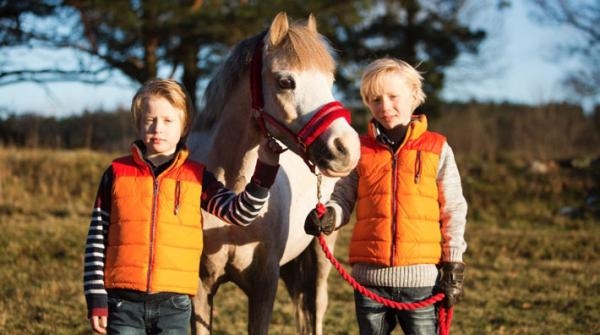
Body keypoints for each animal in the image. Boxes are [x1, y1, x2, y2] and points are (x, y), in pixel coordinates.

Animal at [185, 11, 358, 335]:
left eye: (330, 81)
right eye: (286, 81)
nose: (347, 149)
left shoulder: (264, 286)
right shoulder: (201, 287)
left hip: (321, 254)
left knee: (316, 306)